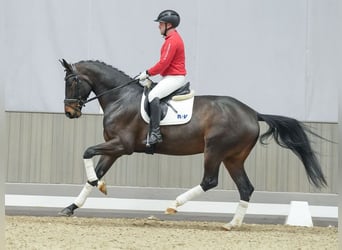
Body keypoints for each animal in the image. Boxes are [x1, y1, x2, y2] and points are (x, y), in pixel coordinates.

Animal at [60, 59, 328, 230]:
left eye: (71, 81)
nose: (70, 112)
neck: (120, 98)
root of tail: (253, 113)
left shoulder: (121, 146)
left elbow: (87, 152)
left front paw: (97, 185)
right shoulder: (113, 148)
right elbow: (94, 173)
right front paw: (72, 206)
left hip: (214, 151)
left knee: (209, 181)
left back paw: (173, 205)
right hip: (233, 158)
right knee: (246, 188)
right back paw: (232, 224)